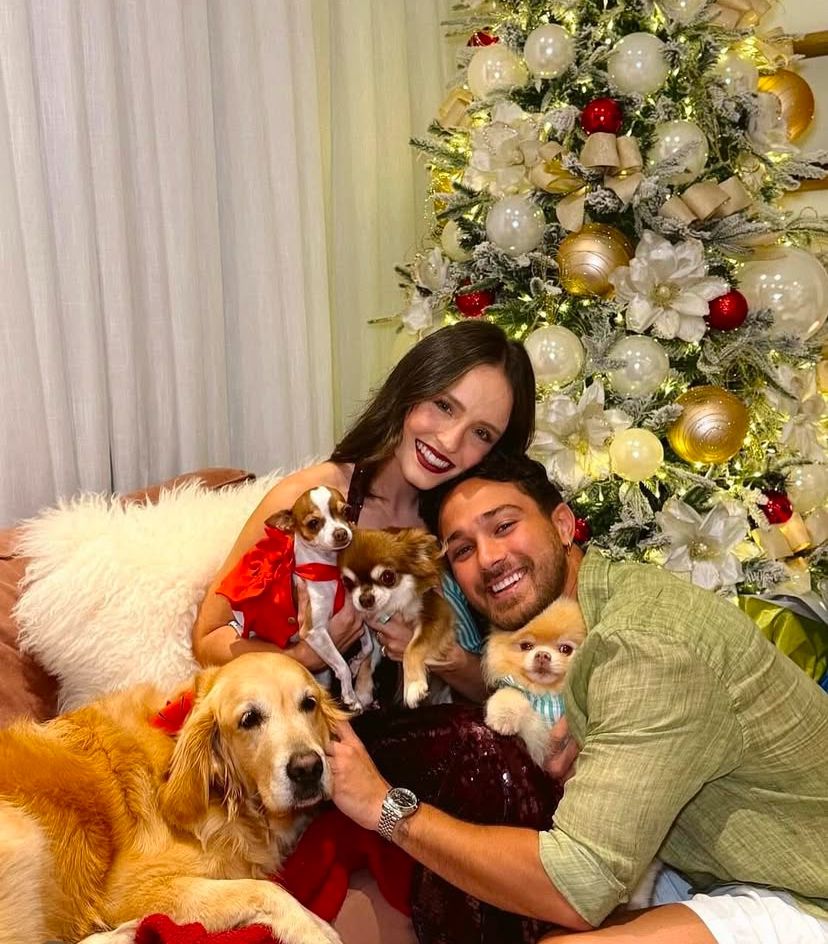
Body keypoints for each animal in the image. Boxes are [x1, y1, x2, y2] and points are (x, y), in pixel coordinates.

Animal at [0, 653, 346, 944]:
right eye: (249, 719)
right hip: (25, 833)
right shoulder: (130, 889)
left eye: (309, 703)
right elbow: (267, 890)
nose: (308, 769)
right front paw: (311, 931)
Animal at [219, 486, 374, 711]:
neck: (328, 569)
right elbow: (341, 664)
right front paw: (350, 696)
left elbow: (368, 647)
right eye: (313, 523)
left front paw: (356, 663)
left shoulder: (359, 620)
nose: (341, 533)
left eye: (346, 511)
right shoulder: (314, 632)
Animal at [338, 527, 455, 708]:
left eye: (388, 577)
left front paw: (414, 685)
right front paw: (361, 692)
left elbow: (413, 647)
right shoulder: (377, 636)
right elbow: (367, 660)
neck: (393, 604)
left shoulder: (436, 613)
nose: (365, 599)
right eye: (347, 582)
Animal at [482, 597, 585, 768]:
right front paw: (503, 717)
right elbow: (511, 693)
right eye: (527, 646)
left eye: (566, 649)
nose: (542, 655)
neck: (546, 693)